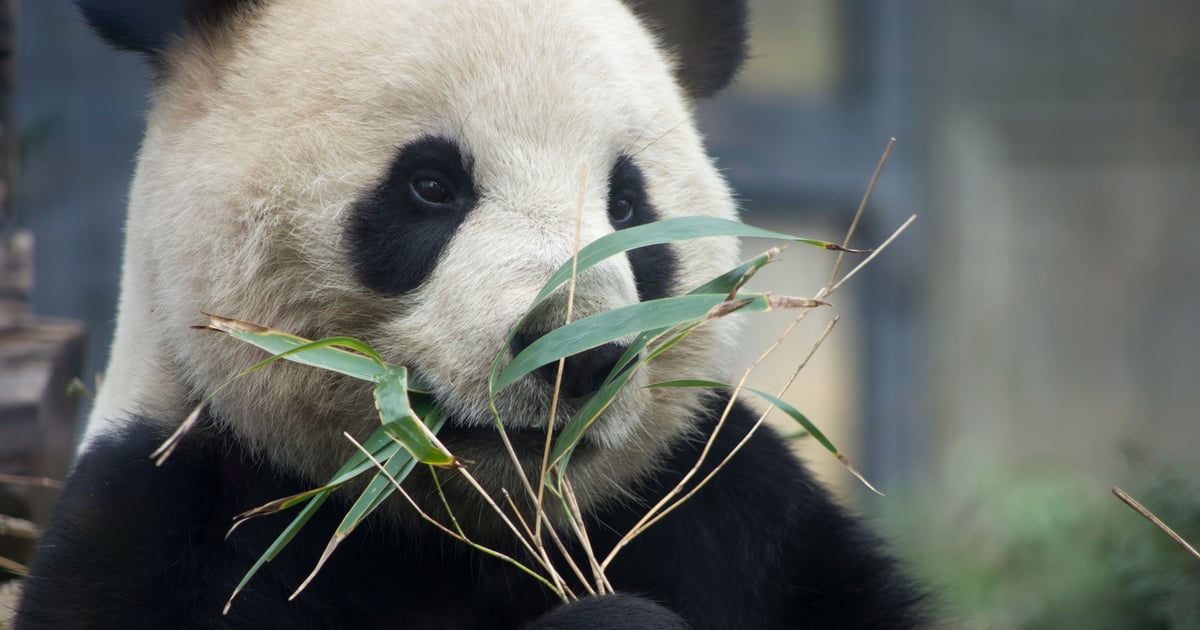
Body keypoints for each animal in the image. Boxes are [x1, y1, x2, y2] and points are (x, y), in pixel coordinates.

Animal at [16, 0, 925, 628]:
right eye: (431, 185)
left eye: (627, 206)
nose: (575, 357)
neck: (474, 527)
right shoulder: (171, 519)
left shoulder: (726, 504)